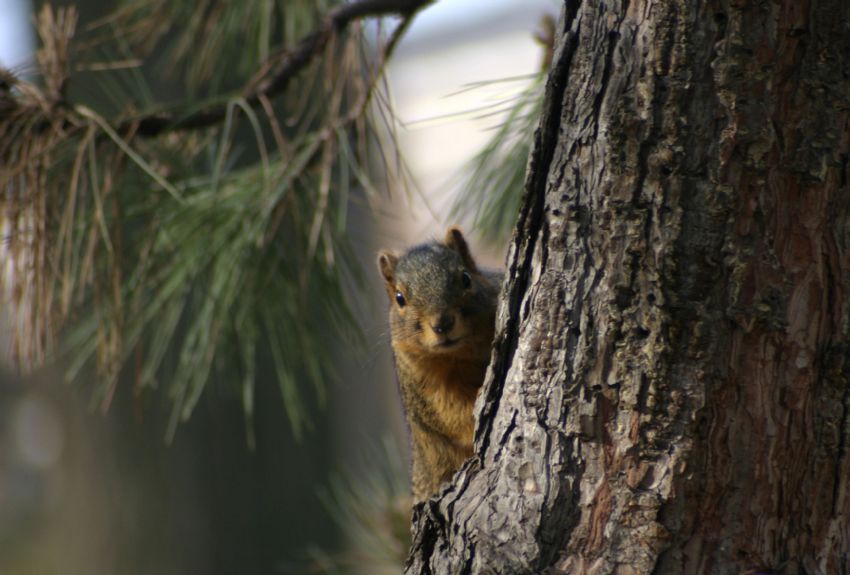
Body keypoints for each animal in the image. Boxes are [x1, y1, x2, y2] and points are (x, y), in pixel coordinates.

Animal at [376, 227, 496, 502]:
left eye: (466, 278)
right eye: (399, 298)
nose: (442, 324)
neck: (459, 355)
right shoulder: (425, 388)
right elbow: (454, 415)